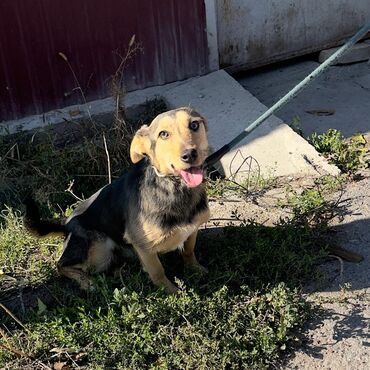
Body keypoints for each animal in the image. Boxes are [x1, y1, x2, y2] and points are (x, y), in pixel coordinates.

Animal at [24, 106, 211, 292]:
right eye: (163, 134)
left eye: (194, 125)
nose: (189, 154)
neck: (175, 188)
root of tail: (66, 224)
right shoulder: (143, 246)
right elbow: (157, 271)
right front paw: (171, 291)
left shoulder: (192, 229)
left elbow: (188, 251)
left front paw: (196, 269)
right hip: (99, 248)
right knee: (61, 265)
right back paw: (88, 282)